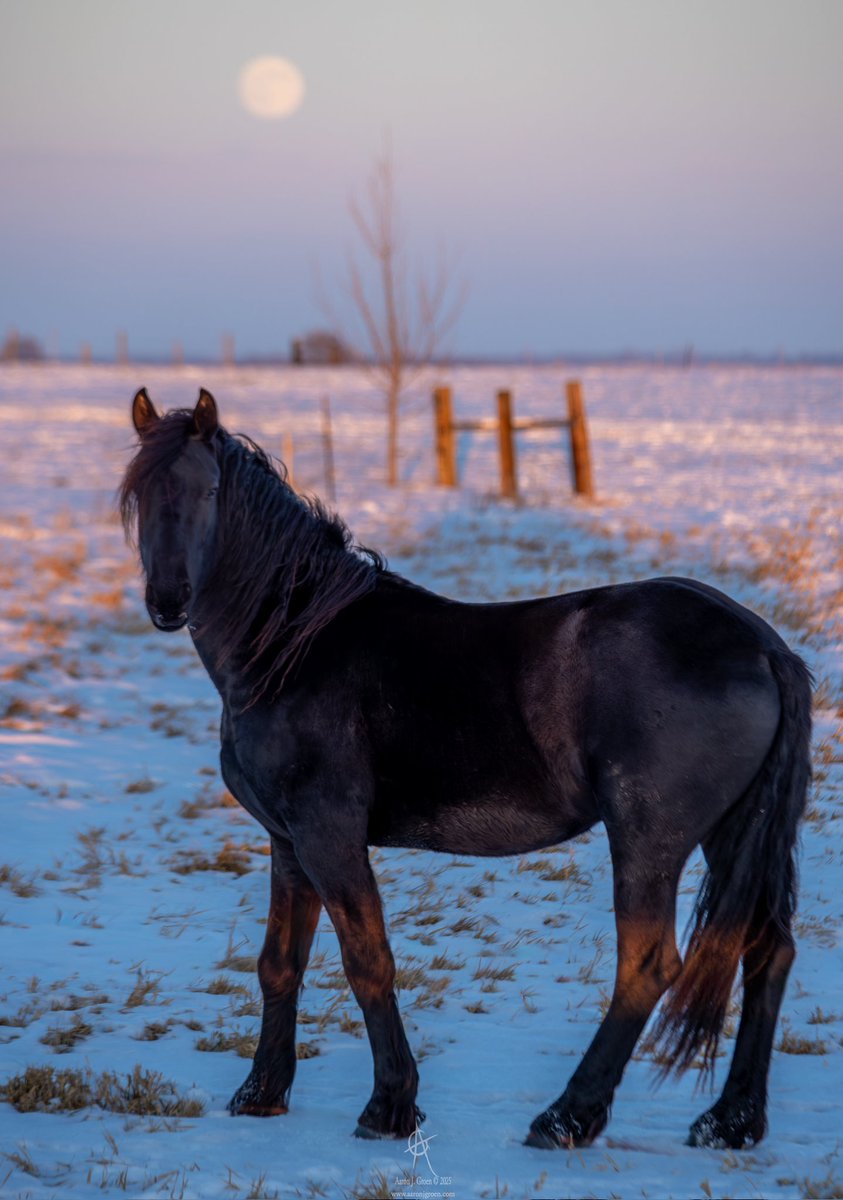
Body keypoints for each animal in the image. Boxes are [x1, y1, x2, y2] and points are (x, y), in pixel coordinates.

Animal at [120, 386, 811, 1150]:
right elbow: (279, 964)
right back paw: (730, 1120)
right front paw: (260, 1095)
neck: (293, 646)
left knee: (648, 965)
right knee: (766, 951)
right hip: (734, 836)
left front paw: (390, 1106)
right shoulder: (287, 842)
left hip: (648, 840)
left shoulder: (329, 837)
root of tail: (762, 646)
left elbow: (367, 960)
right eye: (138, 494)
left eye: (209, 489)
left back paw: (567, 1116)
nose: (168, 600)